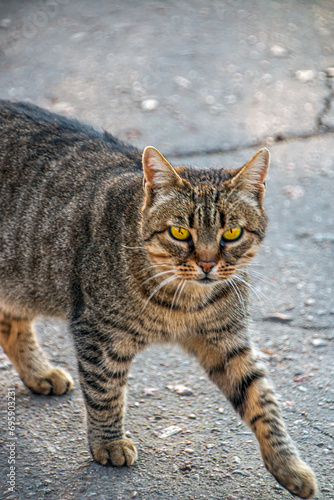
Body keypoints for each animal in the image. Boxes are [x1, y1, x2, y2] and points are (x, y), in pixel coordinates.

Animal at [0, 99, 318, 498]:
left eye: (232, 233)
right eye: (180, 232)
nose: (208, 264)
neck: (185, 301)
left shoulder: (228, 342)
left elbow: (263, 401)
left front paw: (289, 466)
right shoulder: (99, 334)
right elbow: (105, 390)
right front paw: (109, 442)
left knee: (10, 325)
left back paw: (39, 372)